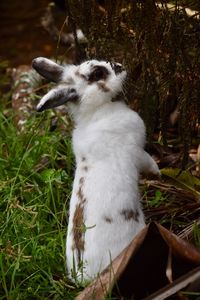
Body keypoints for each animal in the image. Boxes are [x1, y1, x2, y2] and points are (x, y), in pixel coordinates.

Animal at [32, 57, 160, 282]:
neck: (97, 112)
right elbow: (149, 162)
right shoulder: (137, 152)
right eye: (97, 74)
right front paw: (159, 172)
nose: (120, 66)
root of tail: (83, 274)